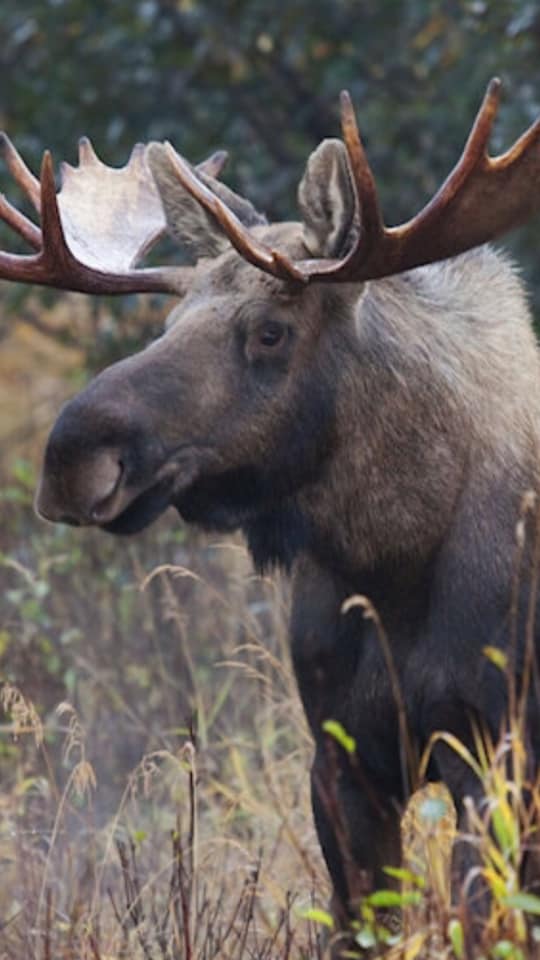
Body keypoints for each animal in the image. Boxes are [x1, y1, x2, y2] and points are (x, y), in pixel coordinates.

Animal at [1, 78, 540, 946]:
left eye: (270, 332)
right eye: (167, 322)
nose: (72, 458)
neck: (395, 565)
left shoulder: (499, 750)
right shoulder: (341, 757)